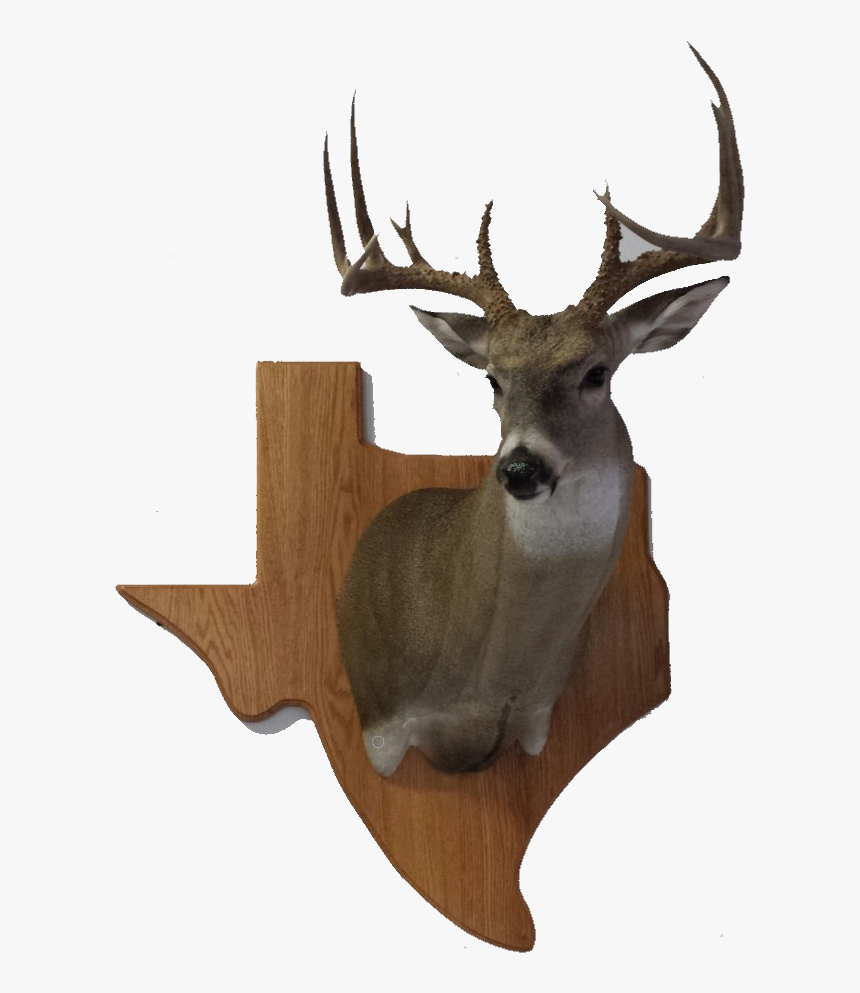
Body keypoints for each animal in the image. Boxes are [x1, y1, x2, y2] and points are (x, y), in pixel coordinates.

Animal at [324, 45, 743, 777]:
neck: (485, 687)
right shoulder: (381, 730)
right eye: (492, 378)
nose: (521, 468)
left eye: (597, 373)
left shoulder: (540, 724)